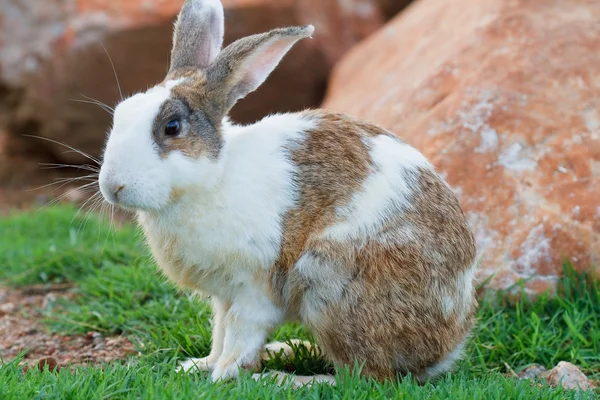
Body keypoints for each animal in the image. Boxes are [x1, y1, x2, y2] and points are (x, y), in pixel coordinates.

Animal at [98, 0, 478, 386]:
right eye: (119, 113)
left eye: (171, 127)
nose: (113, 186)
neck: (213, 177)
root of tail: (445, 350)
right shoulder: (223, 295)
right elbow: (220, 330)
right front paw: (201, 365)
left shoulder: (254, 286)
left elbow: (240, 332)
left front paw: (224, 374)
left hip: (328, 283)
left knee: (363, 376)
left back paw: (286, 378)